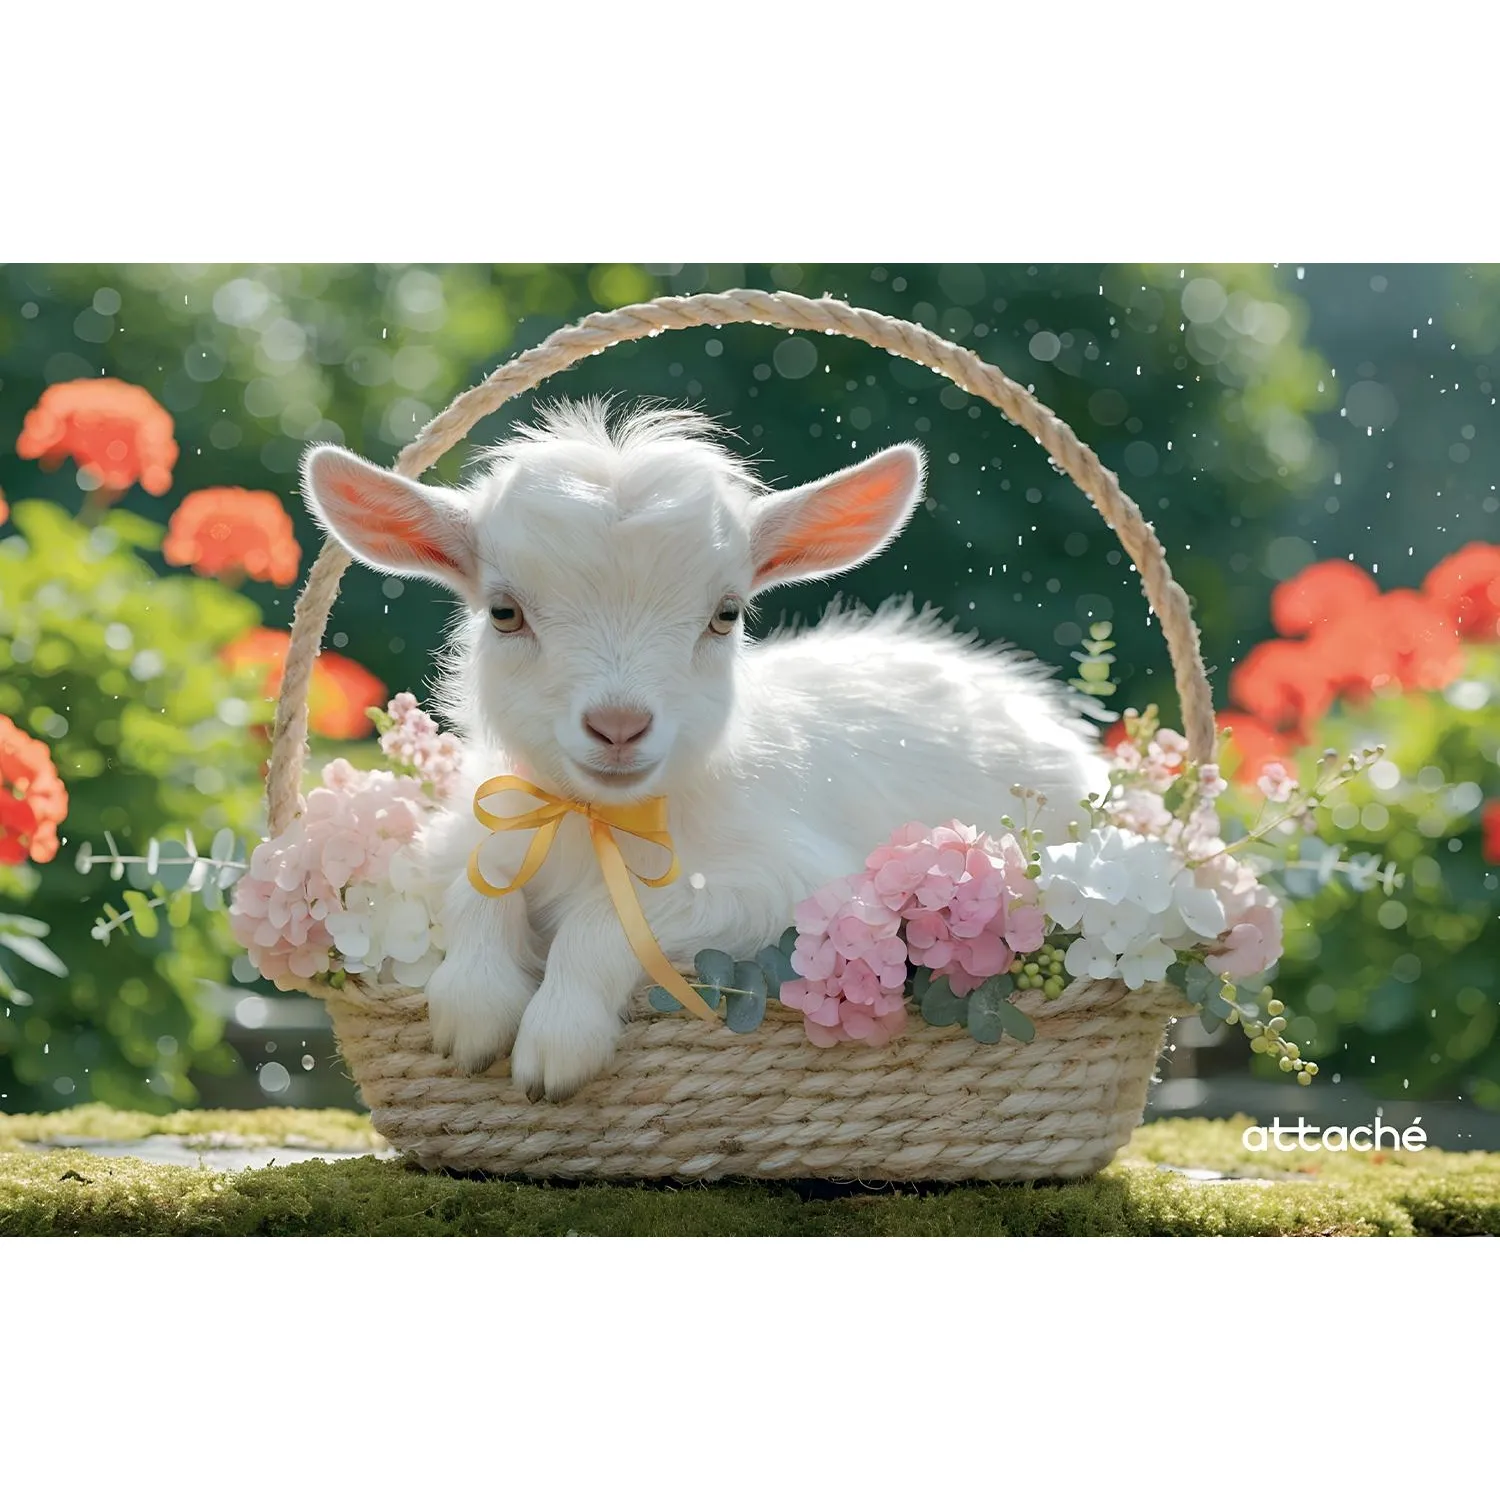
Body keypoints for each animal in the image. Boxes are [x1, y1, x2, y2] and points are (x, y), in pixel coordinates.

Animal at [301, 400, 1109, 1100]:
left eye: (726, 613)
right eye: (504, 612)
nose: (619, 726)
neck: (598, 823)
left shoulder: (783, 884)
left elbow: (606, 922)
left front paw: (556, 1041)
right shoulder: (464, 837)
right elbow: (479, 889)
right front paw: (473, 1006)